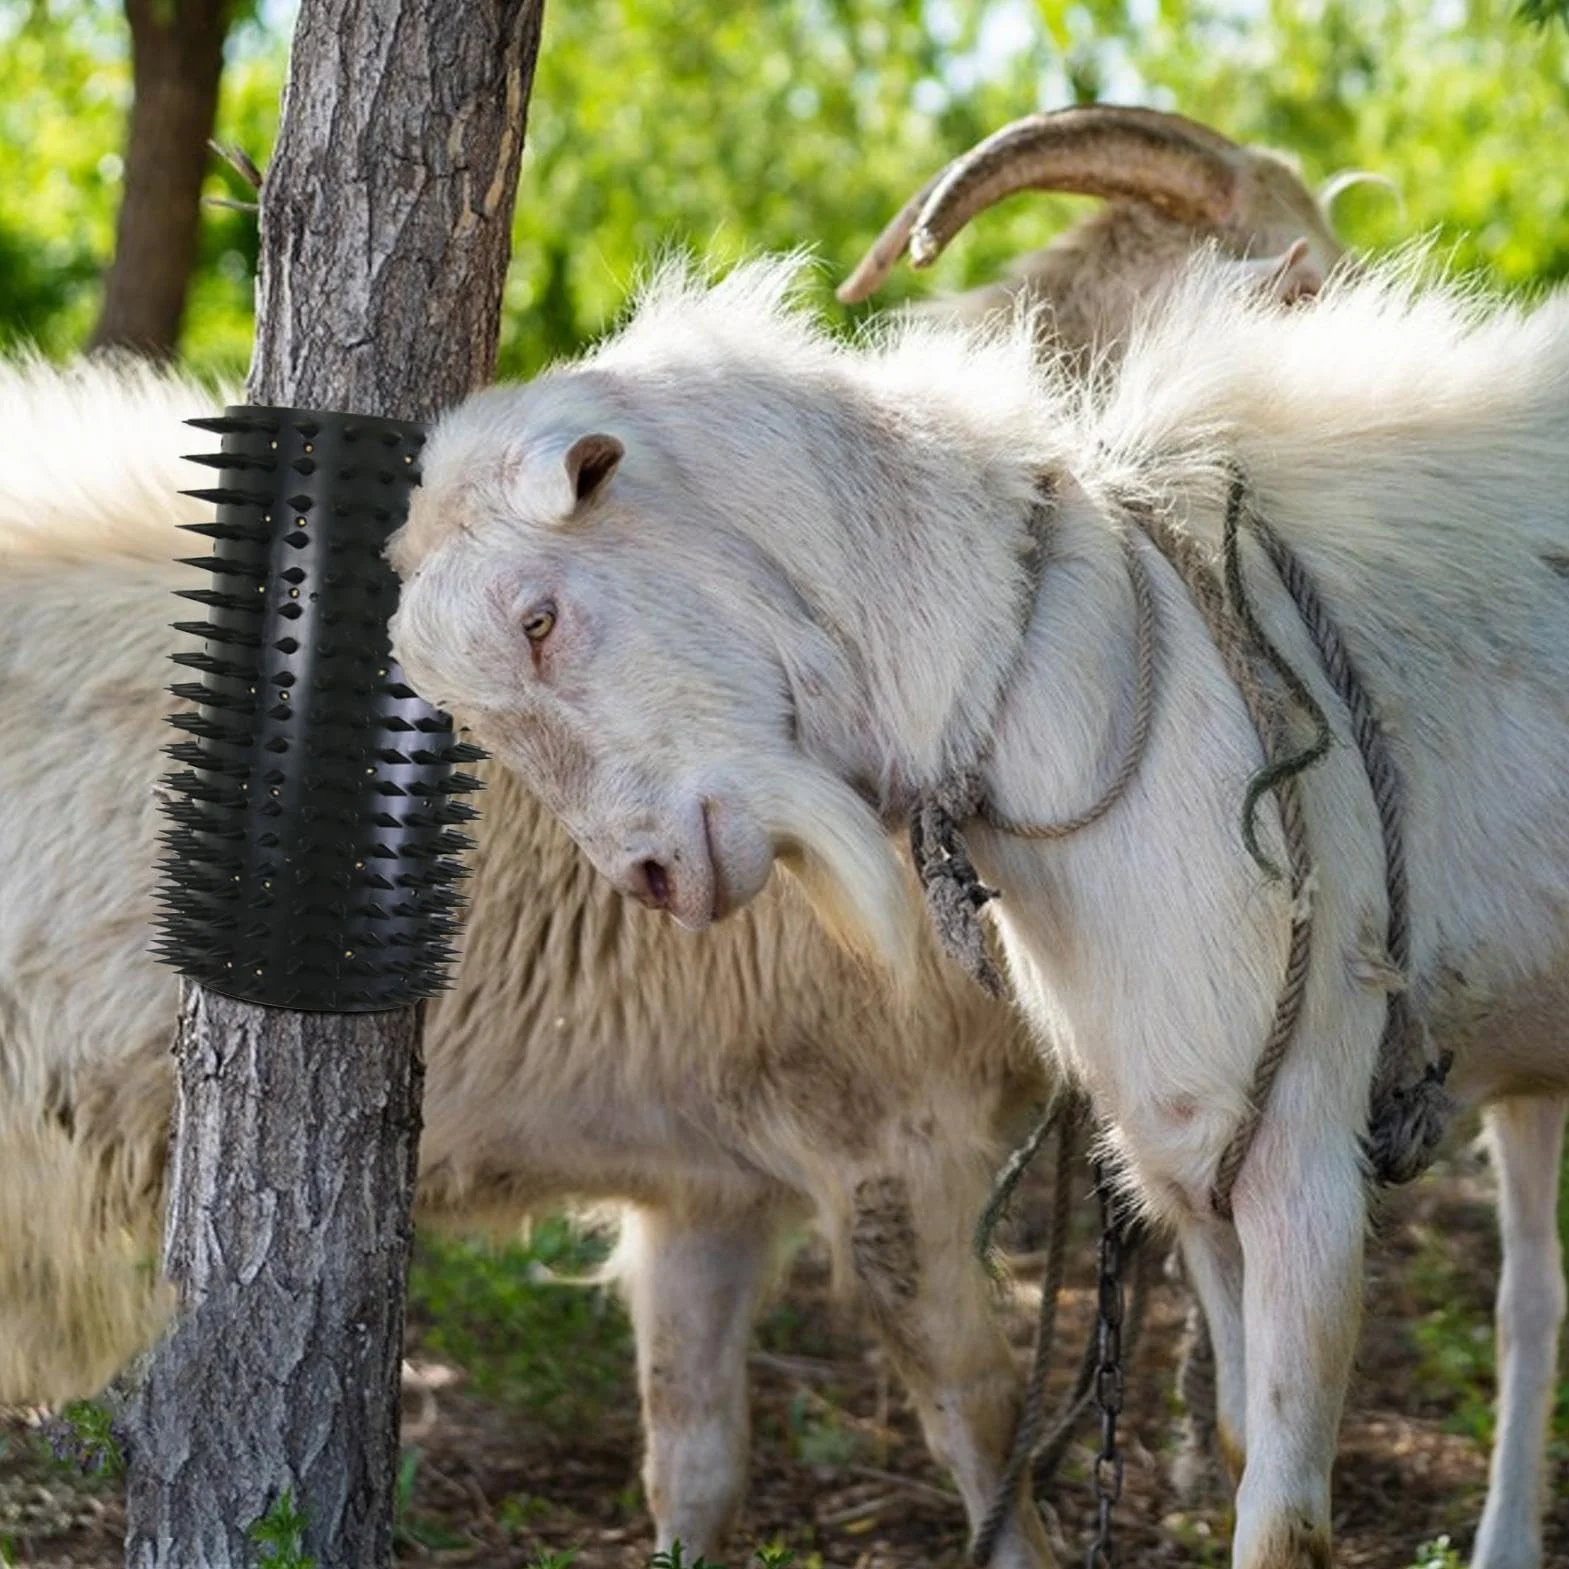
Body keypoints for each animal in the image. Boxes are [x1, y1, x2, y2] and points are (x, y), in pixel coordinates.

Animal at [386, 253, 1569, 1569]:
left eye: (538, 619)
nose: (646, 875)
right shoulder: (1195, 1146)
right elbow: (1229, 1442)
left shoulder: (1301, 1157)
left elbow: (1274, 1521)